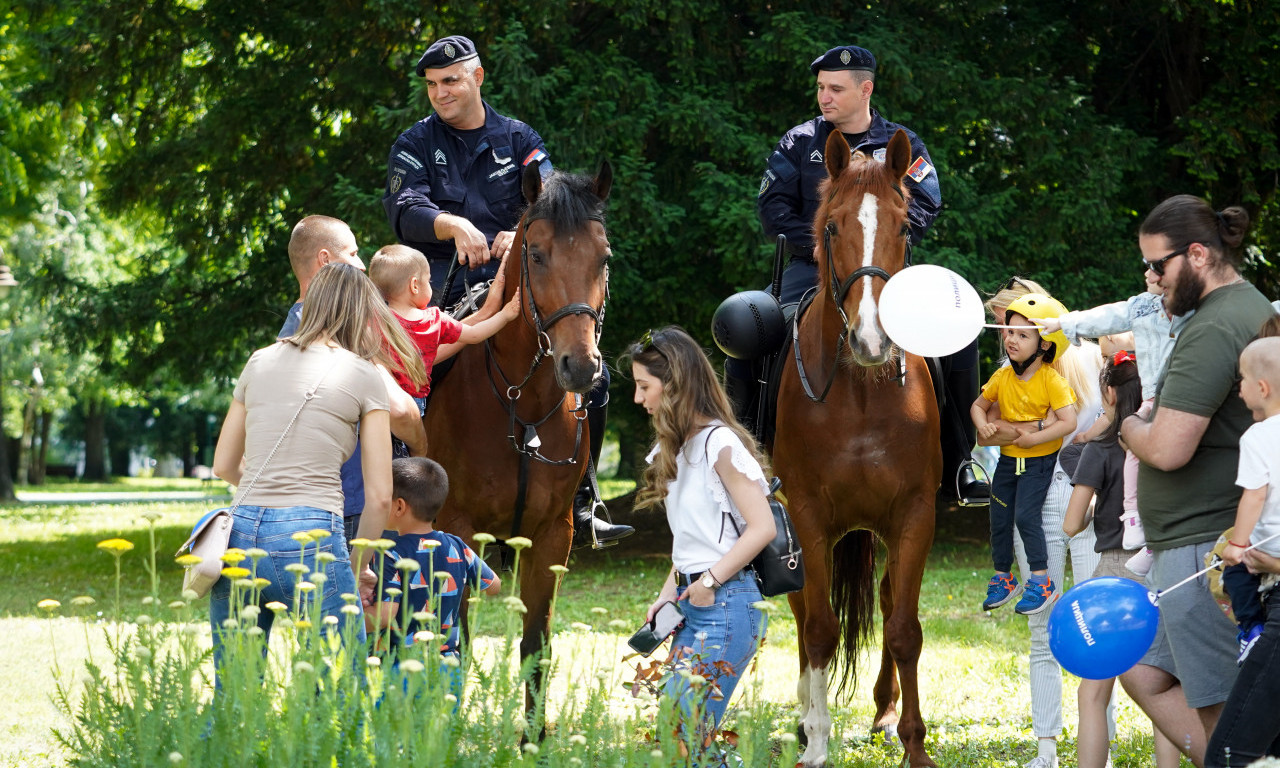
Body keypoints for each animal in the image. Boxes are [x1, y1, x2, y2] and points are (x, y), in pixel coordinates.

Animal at [424, 160, 614, 721]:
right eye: (536, 253)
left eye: (603, 257)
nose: (581, 367)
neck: (522, 403)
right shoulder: (458, 532)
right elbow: (458, 642)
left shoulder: (552, 537)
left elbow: (536, 647)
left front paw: (534, 735)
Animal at [768, 129, 942, 762]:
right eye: (833, 227)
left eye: (904, 226)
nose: (874, 339)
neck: (863, 391)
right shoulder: (807, 516)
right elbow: (820, 627)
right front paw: (815, 744)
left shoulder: (915, 514)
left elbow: (904, 629)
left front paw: (915, 746)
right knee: (804, 614)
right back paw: (804, 717)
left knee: (889, 604)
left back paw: (885, 713)